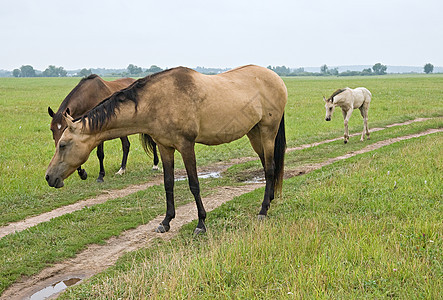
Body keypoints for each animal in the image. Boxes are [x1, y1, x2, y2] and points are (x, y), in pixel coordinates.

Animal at [45, 65, 288, 234]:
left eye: (63, 144)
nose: (49, 177)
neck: (158, 101)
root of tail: (276, 78)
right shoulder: (165, 147)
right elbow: (168, 183)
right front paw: (166, 221)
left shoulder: (186, 146)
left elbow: (194, 185)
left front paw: (201, 223)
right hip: (254, 133)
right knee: (267, 166)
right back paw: (270, 200)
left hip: (268, 132)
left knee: (269, 168)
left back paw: (263, 210)